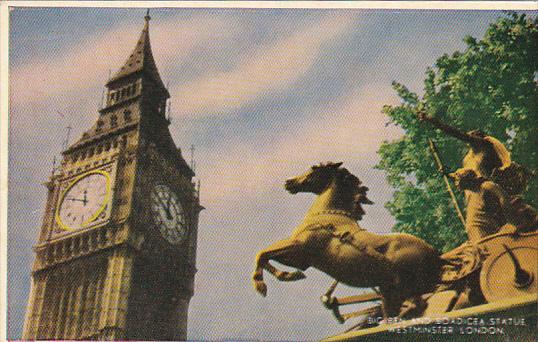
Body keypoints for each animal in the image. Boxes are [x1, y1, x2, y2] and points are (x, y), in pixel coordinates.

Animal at [253, 162, 442, 316]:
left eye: (314, 169)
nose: (289, 182)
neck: (329, 216)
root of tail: (435, 254)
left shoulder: (299, 248)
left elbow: (262, 254)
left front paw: (265, 285)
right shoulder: (302, 260)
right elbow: (266, 256)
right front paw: (291, 275)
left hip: (400, 287)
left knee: (415, 307)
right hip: (391, 290)